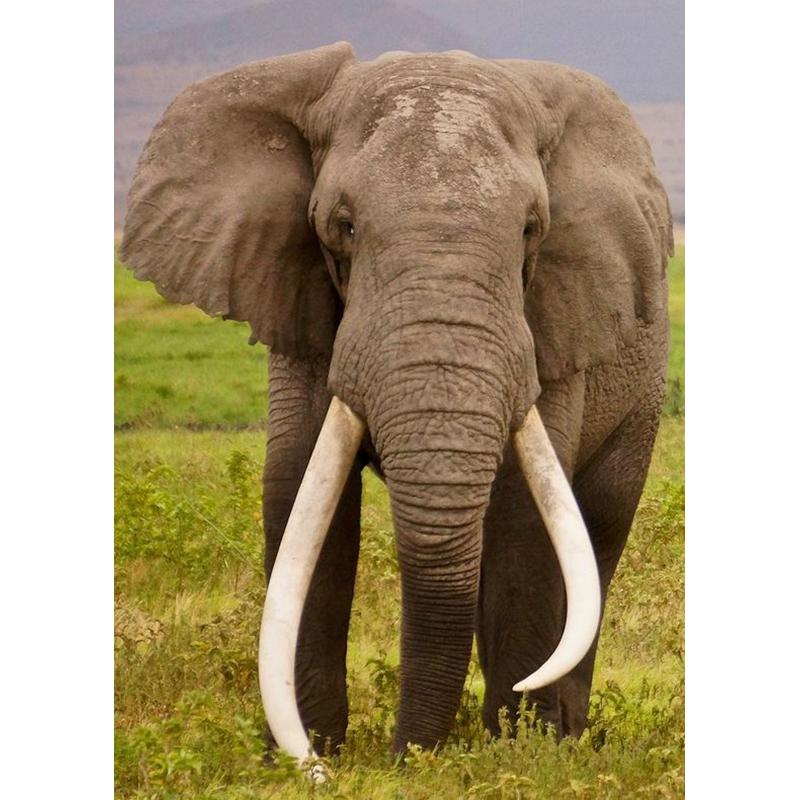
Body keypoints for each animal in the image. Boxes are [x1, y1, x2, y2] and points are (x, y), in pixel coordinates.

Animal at [120, 42, 672, 765]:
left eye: (531, 230)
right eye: (343, 227)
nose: (404, 761)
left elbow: (523, 518)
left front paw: (515, 757)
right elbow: (300, 497)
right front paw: (299, 761)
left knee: (597, 529)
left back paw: (563, 737)